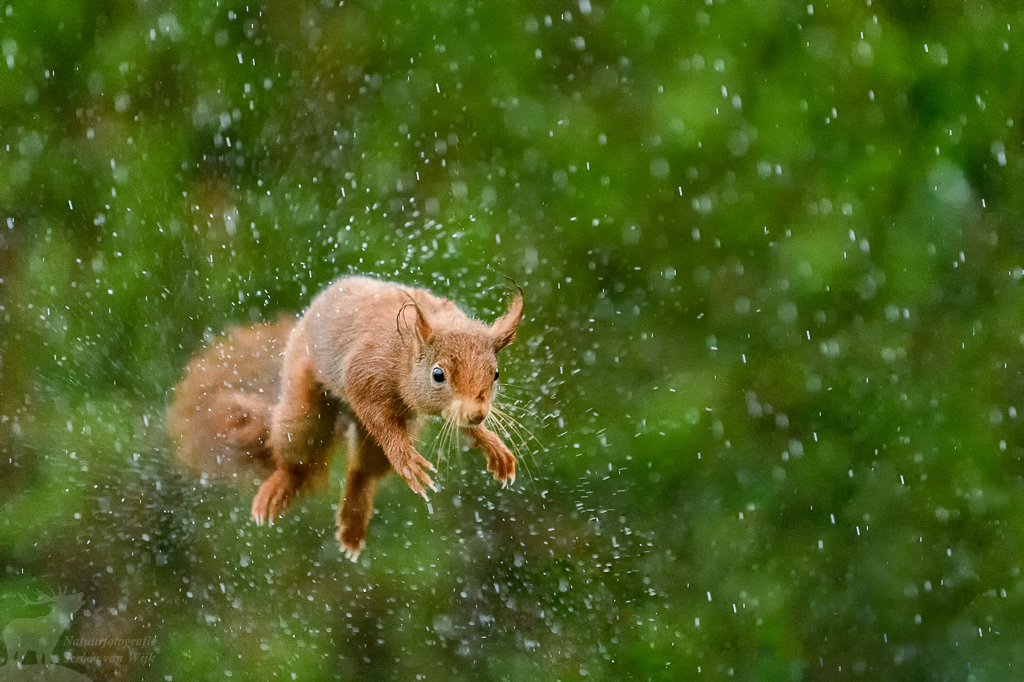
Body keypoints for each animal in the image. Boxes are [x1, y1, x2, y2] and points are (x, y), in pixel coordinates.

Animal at [168, 276, 524, 560]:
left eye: (495, 373)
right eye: (438, 375)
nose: (477, 414)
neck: (403, 353)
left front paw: (492, 444)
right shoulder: (364, 374)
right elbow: (382, 422)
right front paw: (407, 460)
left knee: (363, 470)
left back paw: (352, 523)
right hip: (304, 407)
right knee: (298, 453)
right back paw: (279, 487)